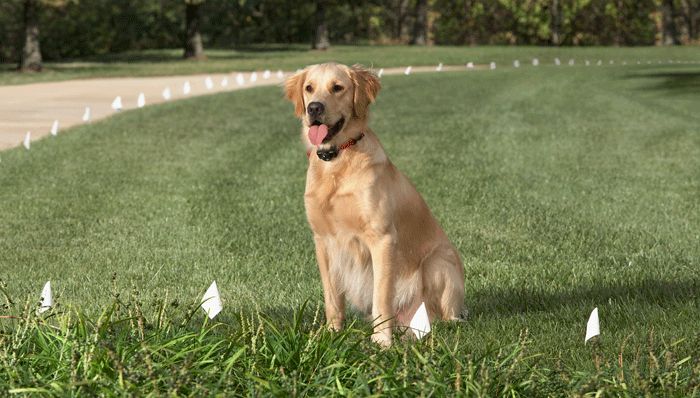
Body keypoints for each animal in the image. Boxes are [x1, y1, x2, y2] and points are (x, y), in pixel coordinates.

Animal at [284, 63, 464, 346]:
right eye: (309, 88)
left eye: (338, 87)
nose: (314, 108)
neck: (338, 160)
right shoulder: (323, 241)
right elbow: (332, 299)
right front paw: (331, 334)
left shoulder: (382, 239)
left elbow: (381, 297)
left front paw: (381, 341)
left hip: (438, 262)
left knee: (446, 317)